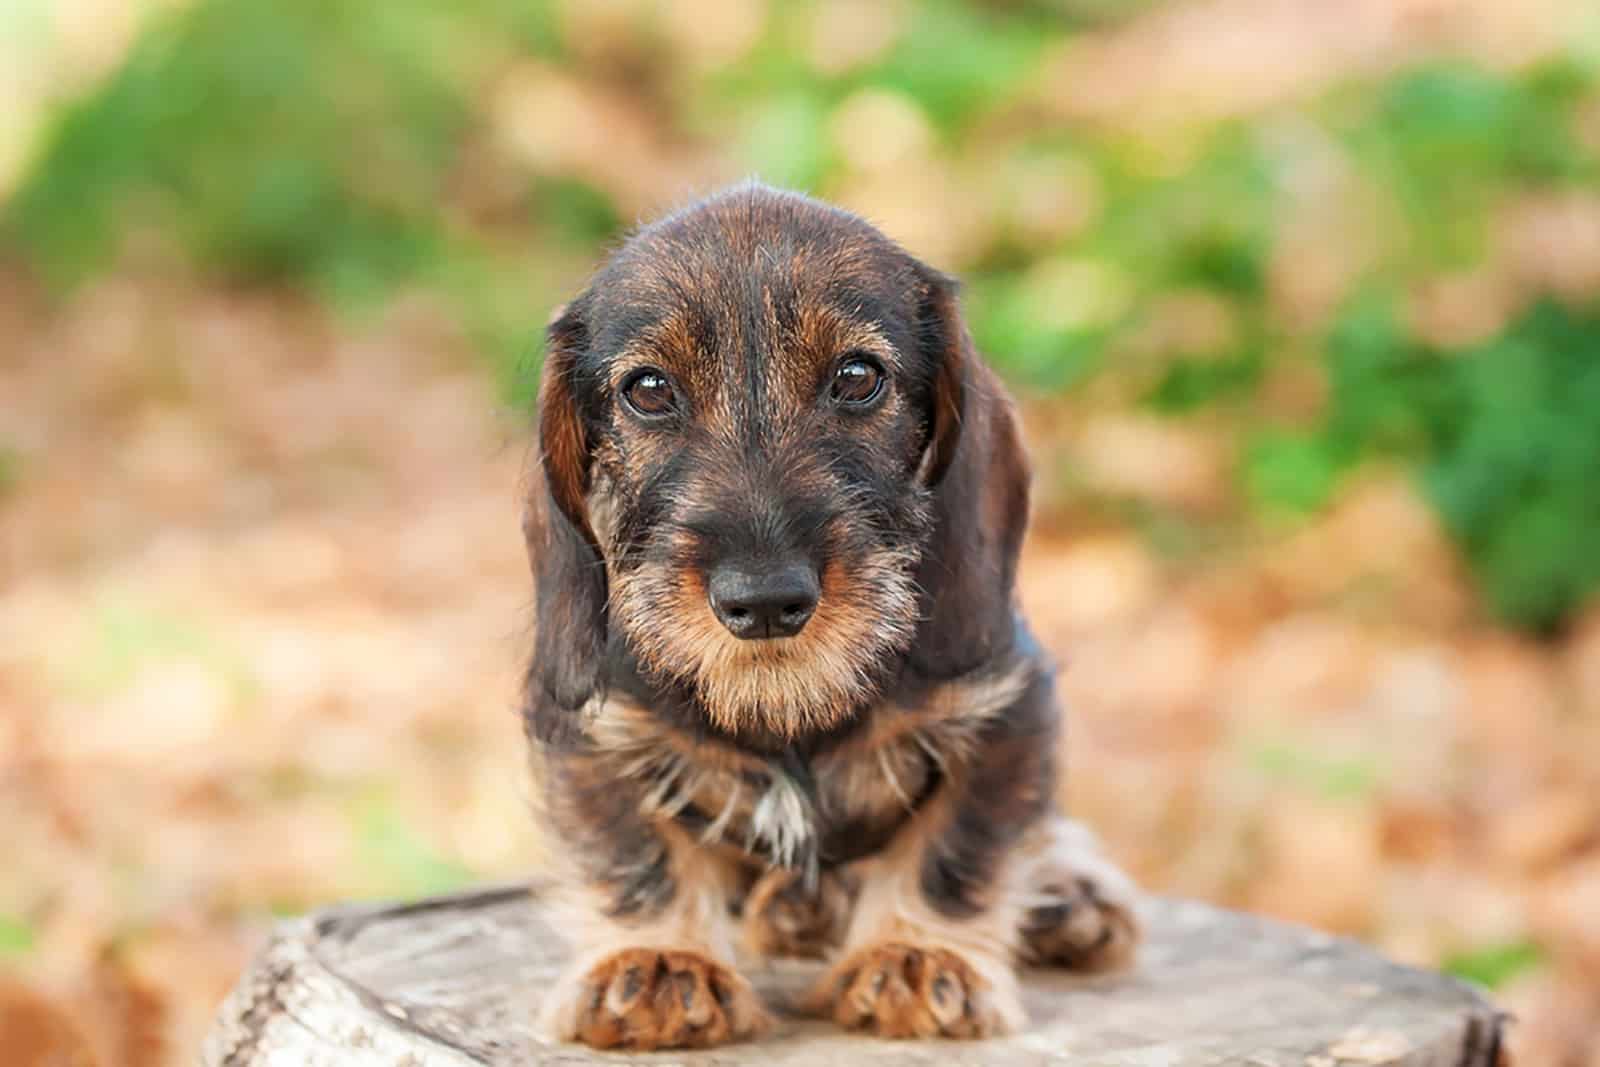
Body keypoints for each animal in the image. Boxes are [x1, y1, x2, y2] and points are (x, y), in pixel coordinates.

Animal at [521, 183, 1139, 1049]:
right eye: (647, 389)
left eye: (857, 376)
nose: (764, 599)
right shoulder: (589, 729)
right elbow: (634, 854)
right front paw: (660, 958)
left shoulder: (1007, 709)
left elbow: (957, 849)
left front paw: (917, 954)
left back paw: (1067, 896)